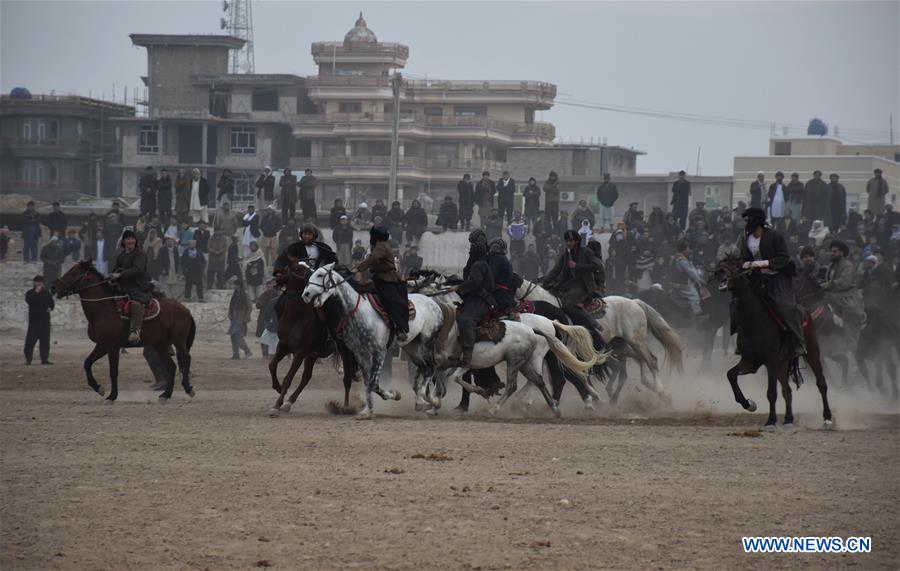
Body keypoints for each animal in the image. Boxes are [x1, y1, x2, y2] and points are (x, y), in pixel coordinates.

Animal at [53, 262, 197, 402]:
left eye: (74, 272)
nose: (55, 287)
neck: (103, 309)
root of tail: (184, 309)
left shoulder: (113, 347)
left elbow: (113, 371)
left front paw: (112, 396)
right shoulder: (102, 345)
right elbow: (87, 363)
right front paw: (99, 388)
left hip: (178, 341)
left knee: (185, 359)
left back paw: (188, 389)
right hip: (160, 344)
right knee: (171, 367)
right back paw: (166, 394)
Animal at [266, 258, 356, 416]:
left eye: (310, 266)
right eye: (297, 268)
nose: (277, 279)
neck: (296, 316)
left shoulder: (300, 353)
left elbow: (289, 377)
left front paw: (277, 404)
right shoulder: (283, 347)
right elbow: (272, 365)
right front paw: (278, 387)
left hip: (343, 351)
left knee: (347, 377)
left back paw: (345, 407)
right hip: (313, 355)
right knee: (306, 377)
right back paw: (289, 402)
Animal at [512, 280, 684, 404]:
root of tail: (635, 302)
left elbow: (570, 375)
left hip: (636, 341)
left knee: (650, 360)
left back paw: (662, 392)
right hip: (621, 346)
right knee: (635, 364)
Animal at [716, 258, 836, 428]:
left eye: (737, 265)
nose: (719, 272)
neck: (755, 320)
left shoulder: (770, 361)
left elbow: (771, 392)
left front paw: (771, 420)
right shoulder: (751, 361)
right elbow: (731, 375)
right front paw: (749, 404)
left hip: (812, 352)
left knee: (821, 382)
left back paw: (827, 418)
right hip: (782, 363)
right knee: (788, 390)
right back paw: (788, 419)